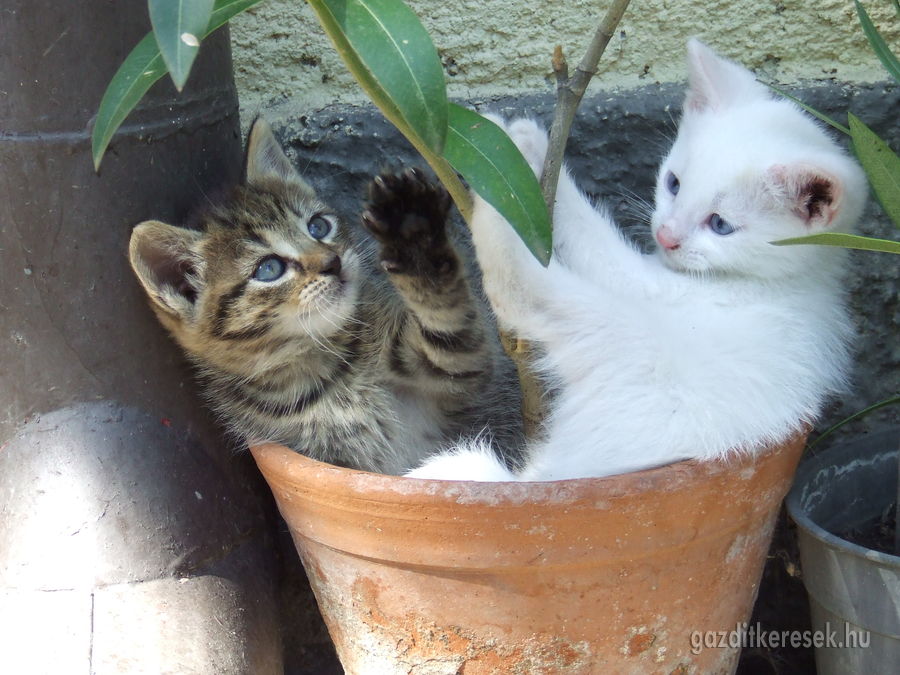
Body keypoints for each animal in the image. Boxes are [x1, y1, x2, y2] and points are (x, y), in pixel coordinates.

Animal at [127, 117, 520, 476]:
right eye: (268, 269)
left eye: (318, 226)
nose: (333, 262)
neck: (318, 371)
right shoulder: (321, 456)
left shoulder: (457, 370)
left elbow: (448, 324)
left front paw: (413, 234)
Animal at [412, 41, 868, 480]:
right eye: (673, 184)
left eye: (720, 224)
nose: (666, 236)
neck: (793, 278)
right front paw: (533, 146)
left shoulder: (656, 286)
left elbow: (593, 237)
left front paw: (525, 148)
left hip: (632, 343)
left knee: (517, 287)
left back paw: (498, 193)